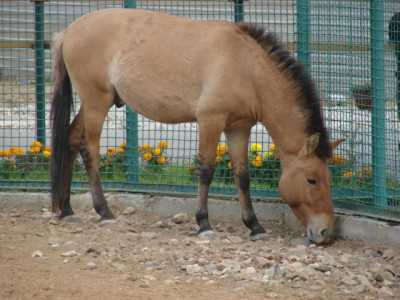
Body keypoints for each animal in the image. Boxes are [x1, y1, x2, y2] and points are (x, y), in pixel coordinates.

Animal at [51, 8, 342, 245]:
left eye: (328, 179)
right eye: (312, 179)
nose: (326, 233)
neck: (245, 66)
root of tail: (68, 31)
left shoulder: (239, 128)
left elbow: (242, 175)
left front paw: (255, 226)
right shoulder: (210, 121)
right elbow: (206, 170)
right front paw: (204, 223)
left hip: (95, 103)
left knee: (71, 139)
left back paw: (66, 209)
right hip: (96, 103)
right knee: (89, 150)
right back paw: (104, 211)